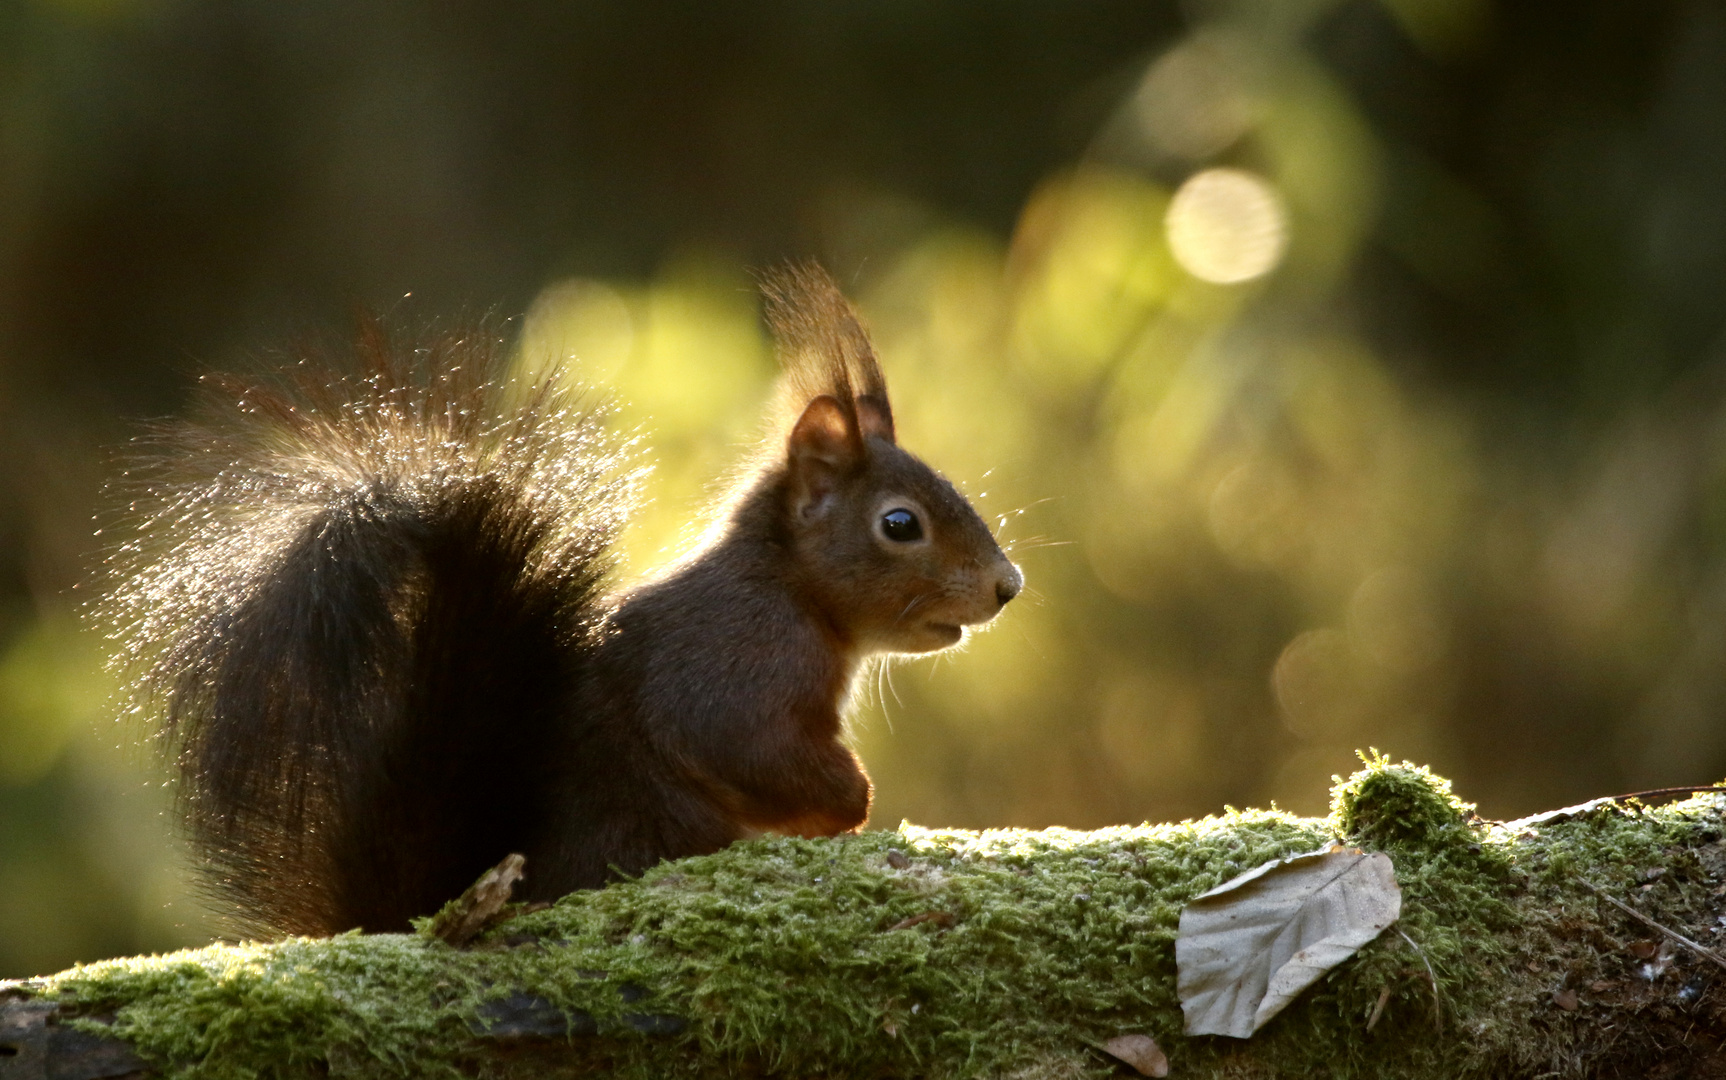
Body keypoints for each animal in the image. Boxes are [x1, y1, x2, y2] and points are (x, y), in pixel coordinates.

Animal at [100, 262, 1014, 931]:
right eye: (900, 524)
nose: (1008, 587)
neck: (792, 590)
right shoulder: (738, 657)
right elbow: (740, 742)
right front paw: (852, 801)